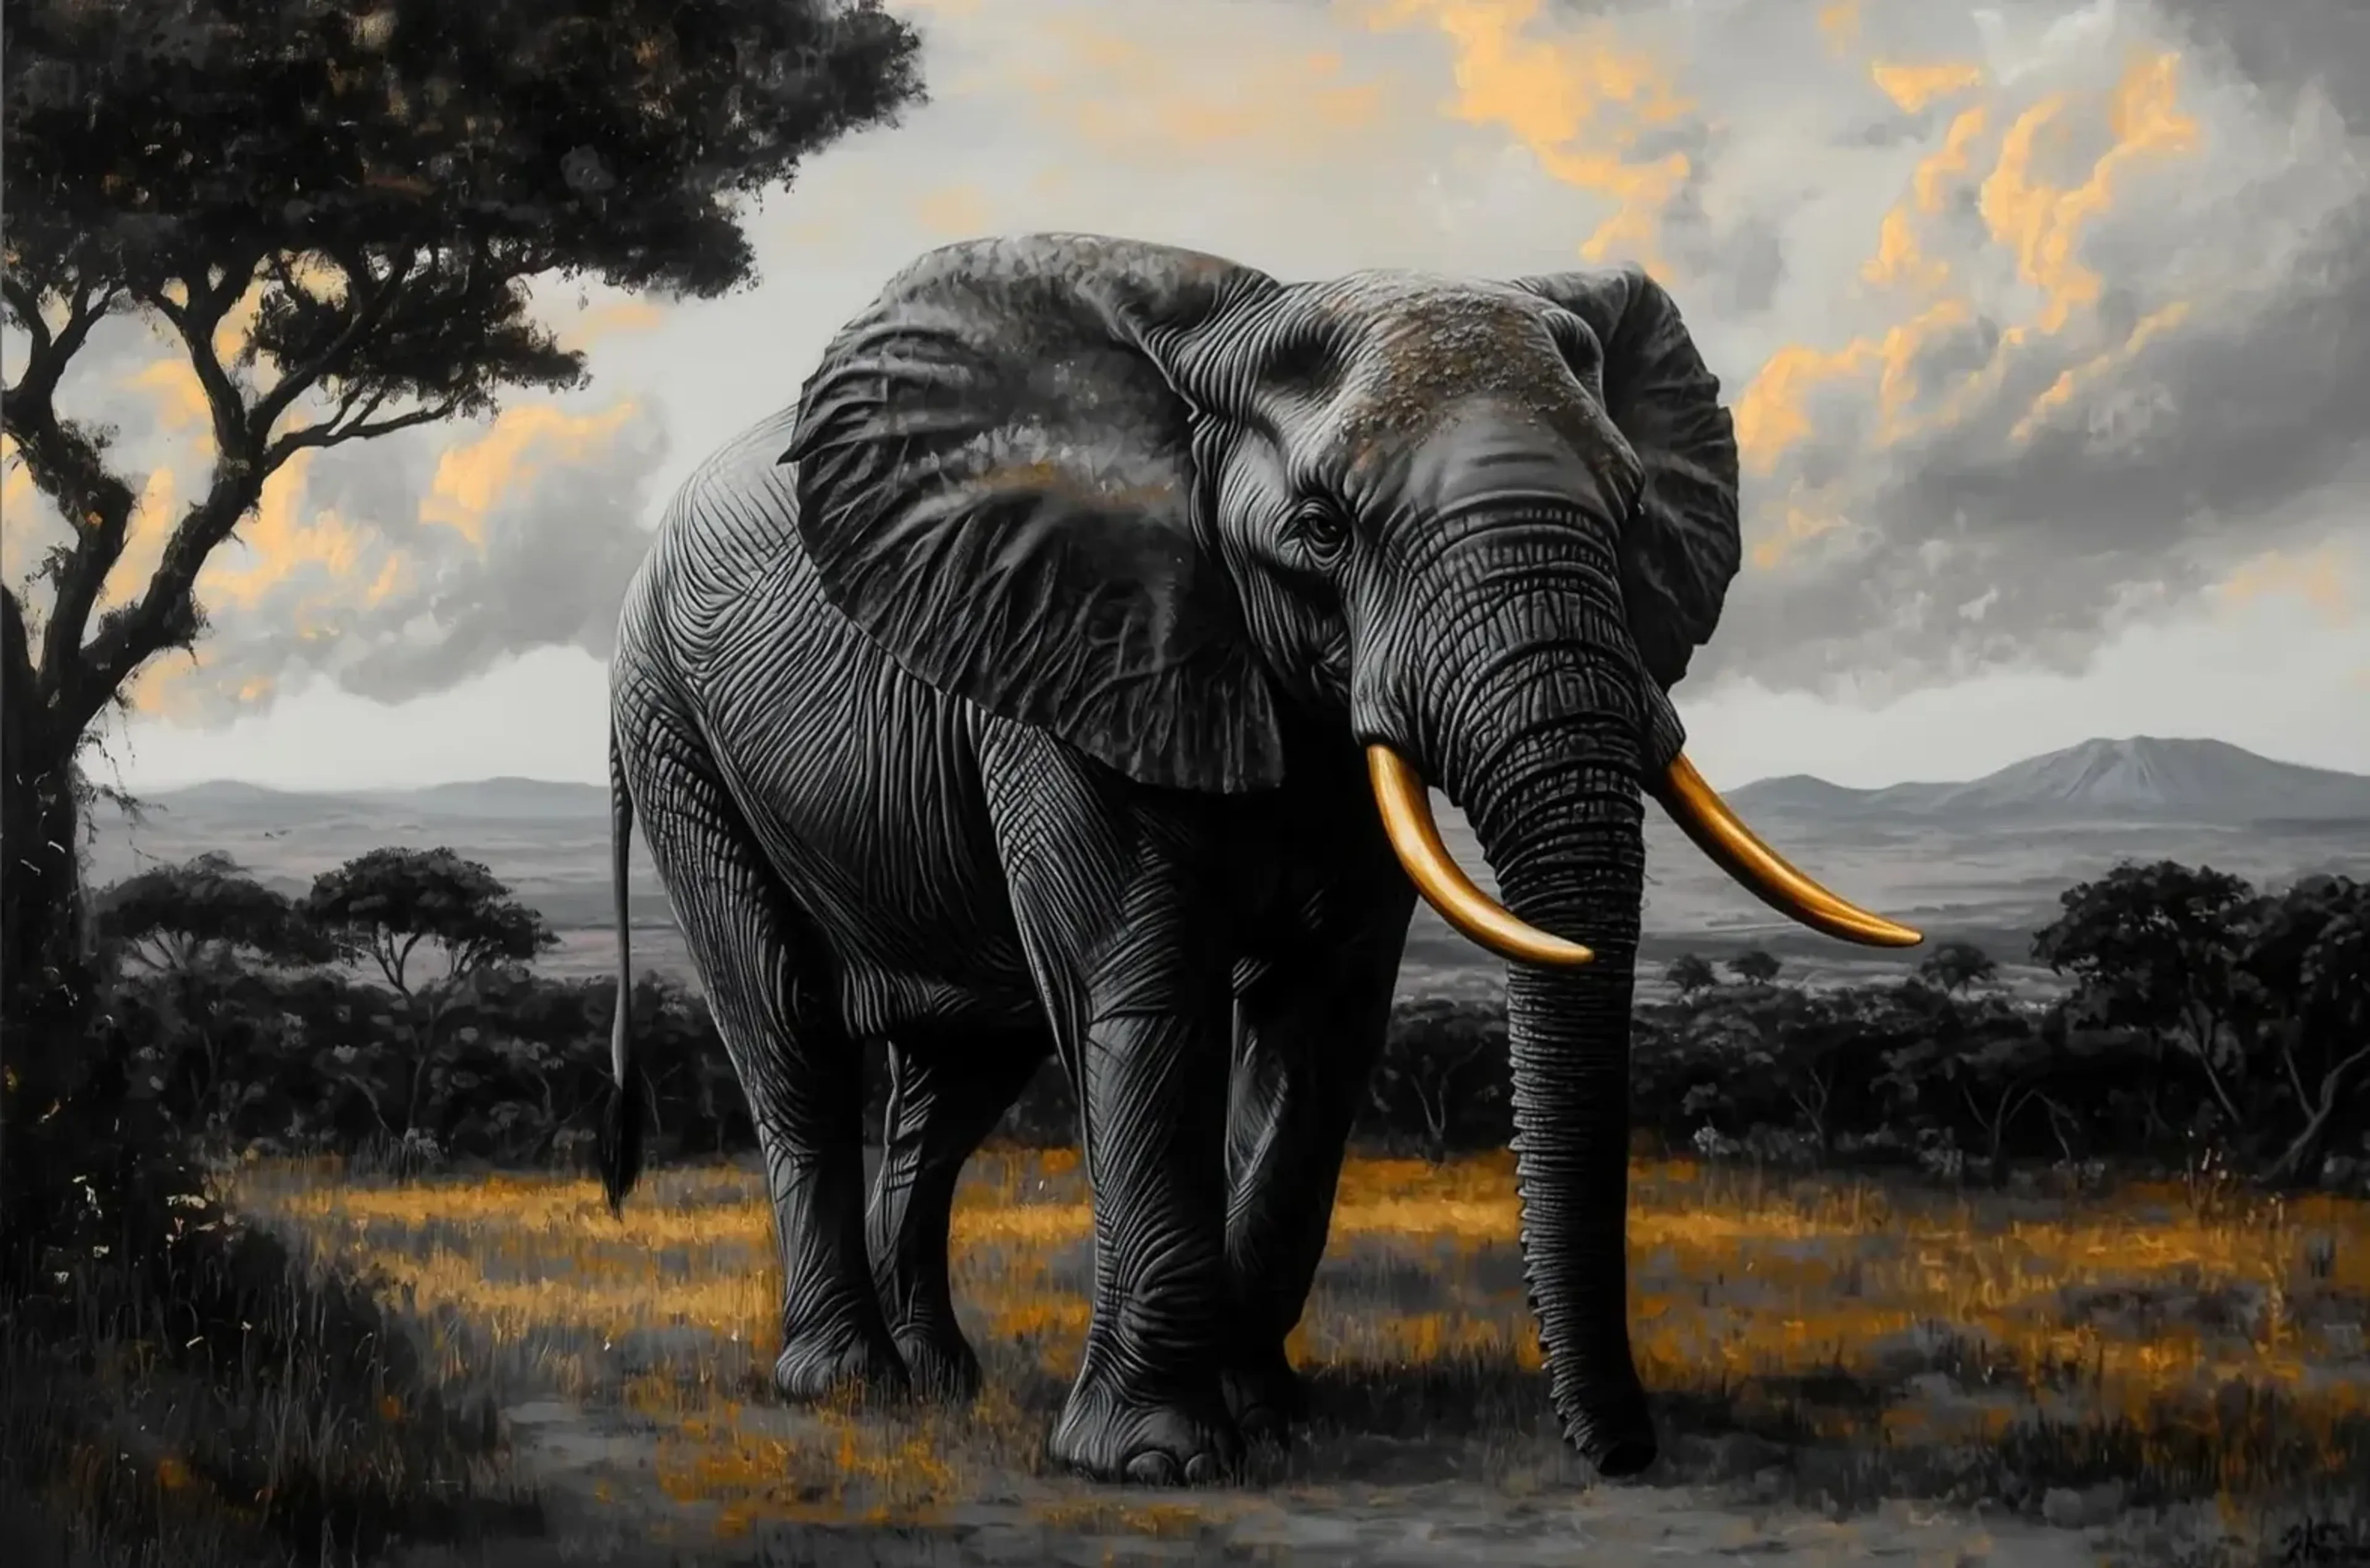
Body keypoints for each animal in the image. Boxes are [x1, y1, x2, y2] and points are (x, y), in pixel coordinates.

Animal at [598, 232, 1920, 1487]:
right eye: (1324, 530)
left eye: (1633, 507)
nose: (1628, 1453)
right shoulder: (1081, 656)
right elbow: (1141, 998)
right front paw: (1157, 1462)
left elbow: (1320, 1026)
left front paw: (1270, 1419)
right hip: (673, 725)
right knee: (790, 1032)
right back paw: (847, 1388)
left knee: (959, 1074)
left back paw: (941, 1383)